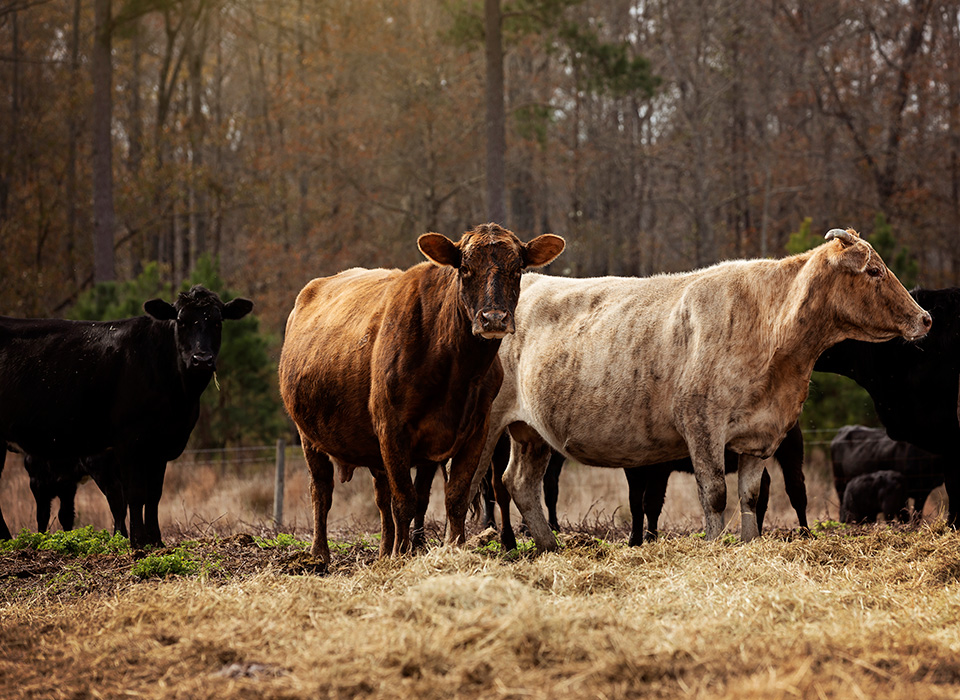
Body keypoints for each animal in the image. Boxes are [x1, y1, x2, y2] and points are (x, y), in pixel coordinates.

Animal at [0, 285, 253, 548]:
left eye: (217, 322)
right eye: (181, 321)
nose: (201, 359)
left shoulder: (160, 445)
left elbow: (153, 495)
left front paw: (156, 541)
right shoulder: (128, 441)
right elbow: (134, 494)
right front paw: (137, 541)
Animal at [278, 223, 565, 567]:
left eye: (517, 269)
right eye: (465, 269)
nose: (493, 318)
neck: (454, 369)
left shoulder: (475, 430)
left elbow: (454, 496)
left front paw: (454, 548)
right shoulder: (392, 429)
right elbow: (405, 500)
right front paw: (402, 556)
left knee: (381, 495)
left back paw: (384, 550)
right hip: (309, 435)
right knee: (322, 489)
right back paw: (320, 553)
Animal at [472, 228, 931, 553]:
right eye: (874, 271)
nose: (925, 318)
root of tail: (529, 280)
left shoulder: (760, 436)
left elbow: (750, 497)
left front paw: (749, 544)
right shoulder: (702, 424)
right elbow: (714, 495)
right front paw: (714, 547)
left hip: (530, 433)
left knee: (519, 482)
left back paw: (551, 547)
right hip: (485, 425)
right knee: (476, 480)